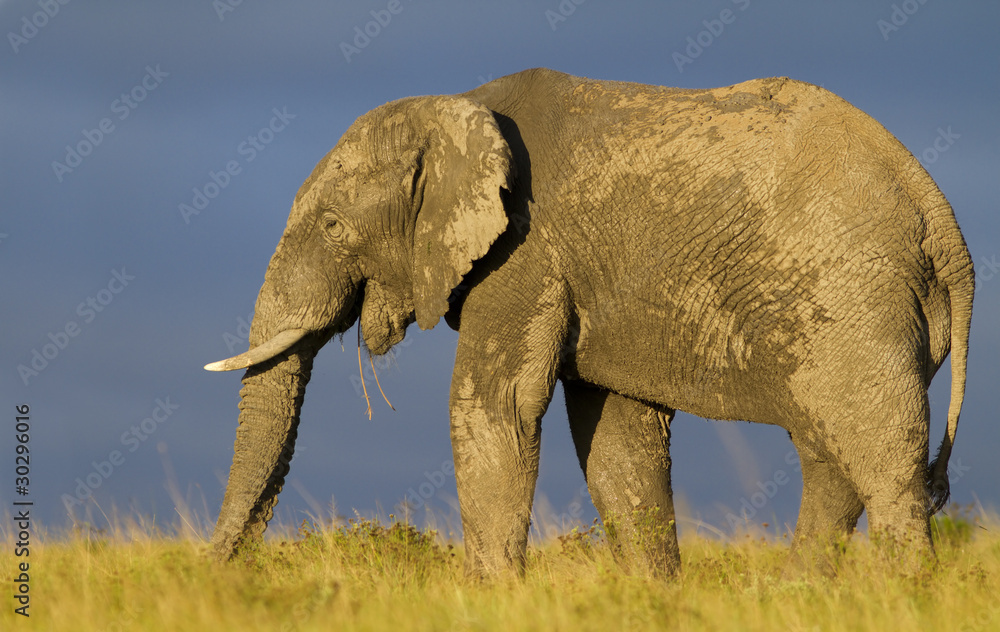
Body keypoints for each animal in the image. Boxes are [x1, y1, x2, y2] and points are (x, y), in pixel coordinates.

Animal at [205, 68, 973, 578]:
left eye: (334, 226)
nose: (222, 571)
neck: (460, 111)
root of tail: (940, 217)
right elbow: (617, 439)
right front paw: (654, 596)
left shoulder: (526, 252)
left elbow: (495, 408)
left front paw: (491, 599)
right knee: (829, 457)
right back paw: (801, 594)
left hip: (854, 298)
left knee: (881, 458)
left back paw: (901, 595)